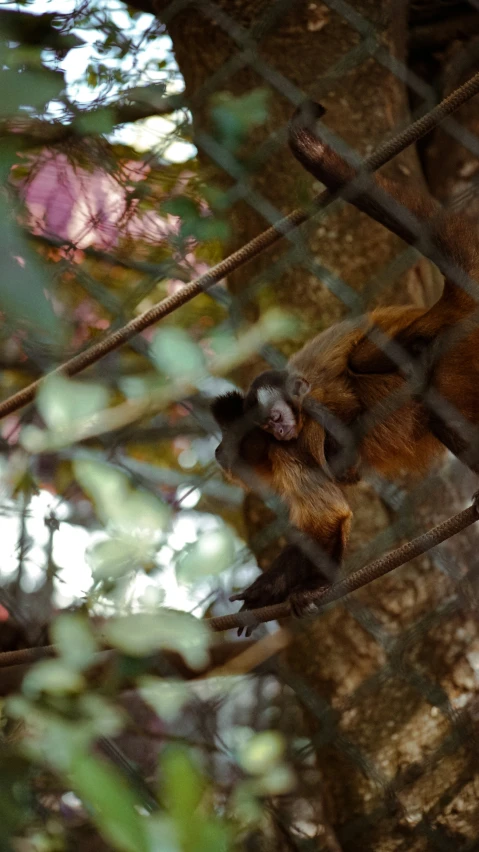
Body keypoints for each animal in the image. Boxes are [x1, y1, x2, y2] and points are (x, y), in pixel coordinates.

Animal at [214, 98, 479, 620]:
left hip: (457, 355)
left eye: (236, 441)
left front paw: (297, 590)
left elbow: (328, 517)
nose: (218, 456)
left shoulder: (293, 446)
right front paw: (275, 592)